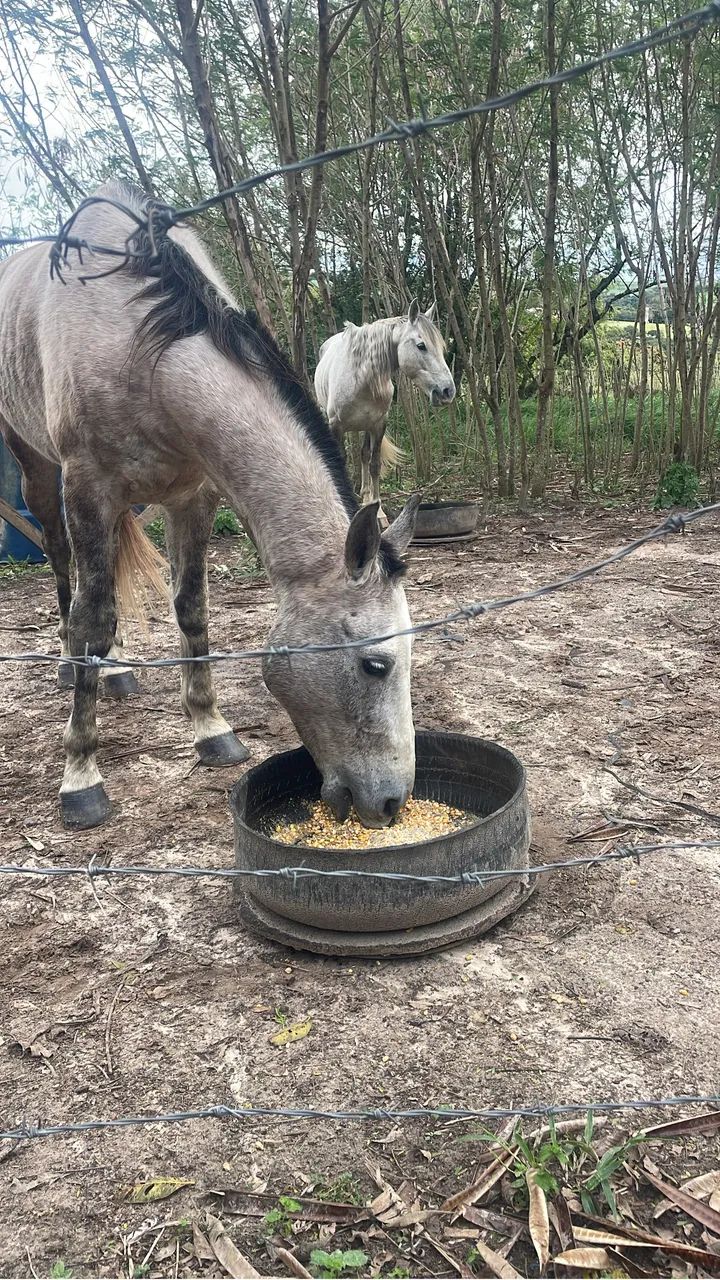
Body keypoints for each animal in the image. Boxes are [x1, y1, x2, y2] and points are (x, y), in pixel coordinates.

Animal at [0, 182, 420, 831]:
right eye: (376, 665)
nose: (393, 803)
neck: (145, 351)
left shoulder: (193, 497)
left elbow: (191, 610)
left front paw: (211, 729)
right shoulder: (89, 488)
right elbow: (93, 619)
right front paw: (80, 775)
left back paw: (116, 670)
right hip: (42, 475)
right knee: (65, 569)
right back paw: (75, 665)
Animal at [313, 303, 455, 522]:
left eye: (441, 347)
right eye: (421, 345)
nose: (448, 391)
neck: (361, 378)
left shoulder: (378, 425)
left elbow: (374, 465)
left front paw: (377, 511)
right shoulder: (336, 426)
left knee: (363, 454)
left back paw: (365, 495)